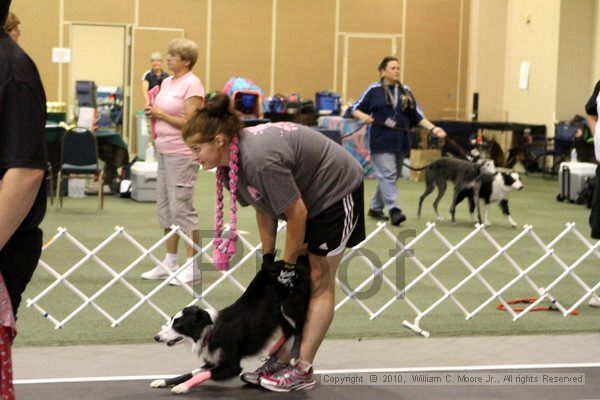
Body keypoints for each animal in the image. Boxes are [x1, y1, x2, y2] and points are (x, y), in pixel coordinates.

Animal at [151, 256, 310, 394]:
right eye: (171, 320)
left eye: (178, 326)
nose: (156, 337)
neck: (210, 332)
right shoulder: (212, 360)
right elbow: (190, 373)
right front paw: (163, 381)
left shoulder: (232, 366)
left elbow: (202, 375)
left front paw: (182, 387)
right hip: (279, 315)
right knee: (289, 331)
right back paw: (274, 349)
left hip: (289, 306)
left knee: (299, 328)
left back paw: (294, 355)